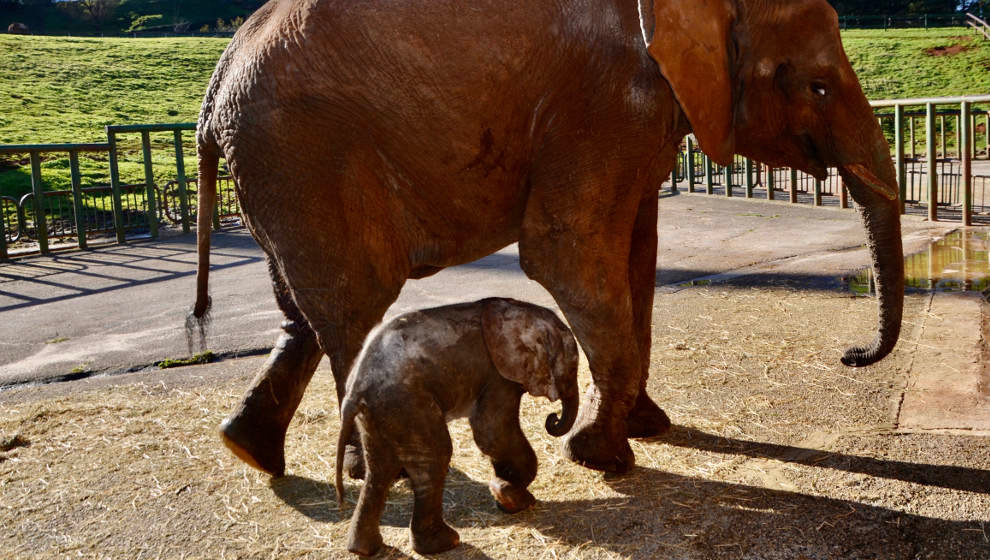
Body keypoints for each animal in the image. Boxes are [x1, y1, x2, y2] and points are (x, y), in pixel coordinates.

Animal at [192, 0, 908, 476]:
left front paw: (645, 428)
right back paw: (378, 474)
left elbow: (637, 255)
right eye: (817, 85)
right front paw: (599, 456)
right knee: (351, 308)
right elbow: (570, 252)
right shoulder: (604, 101)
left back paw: (247, 450)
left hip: (277, 173)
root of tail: (216, 79)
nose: (849, 355)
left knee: (303, 313)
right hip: (301, 156)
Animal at [336, 298, 580, 556]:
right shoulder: (497, 374)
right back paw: (445, 543)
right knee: (434, 458)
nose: (552, 419)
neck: (524, 311)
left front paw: (505, 496)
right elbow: (491, 431)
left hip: (379, 411)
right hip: (405, 401)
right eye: (573, 367)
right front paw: (510, 497)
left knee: (380, 467)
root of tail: (354, 391)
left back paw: (364, 549)